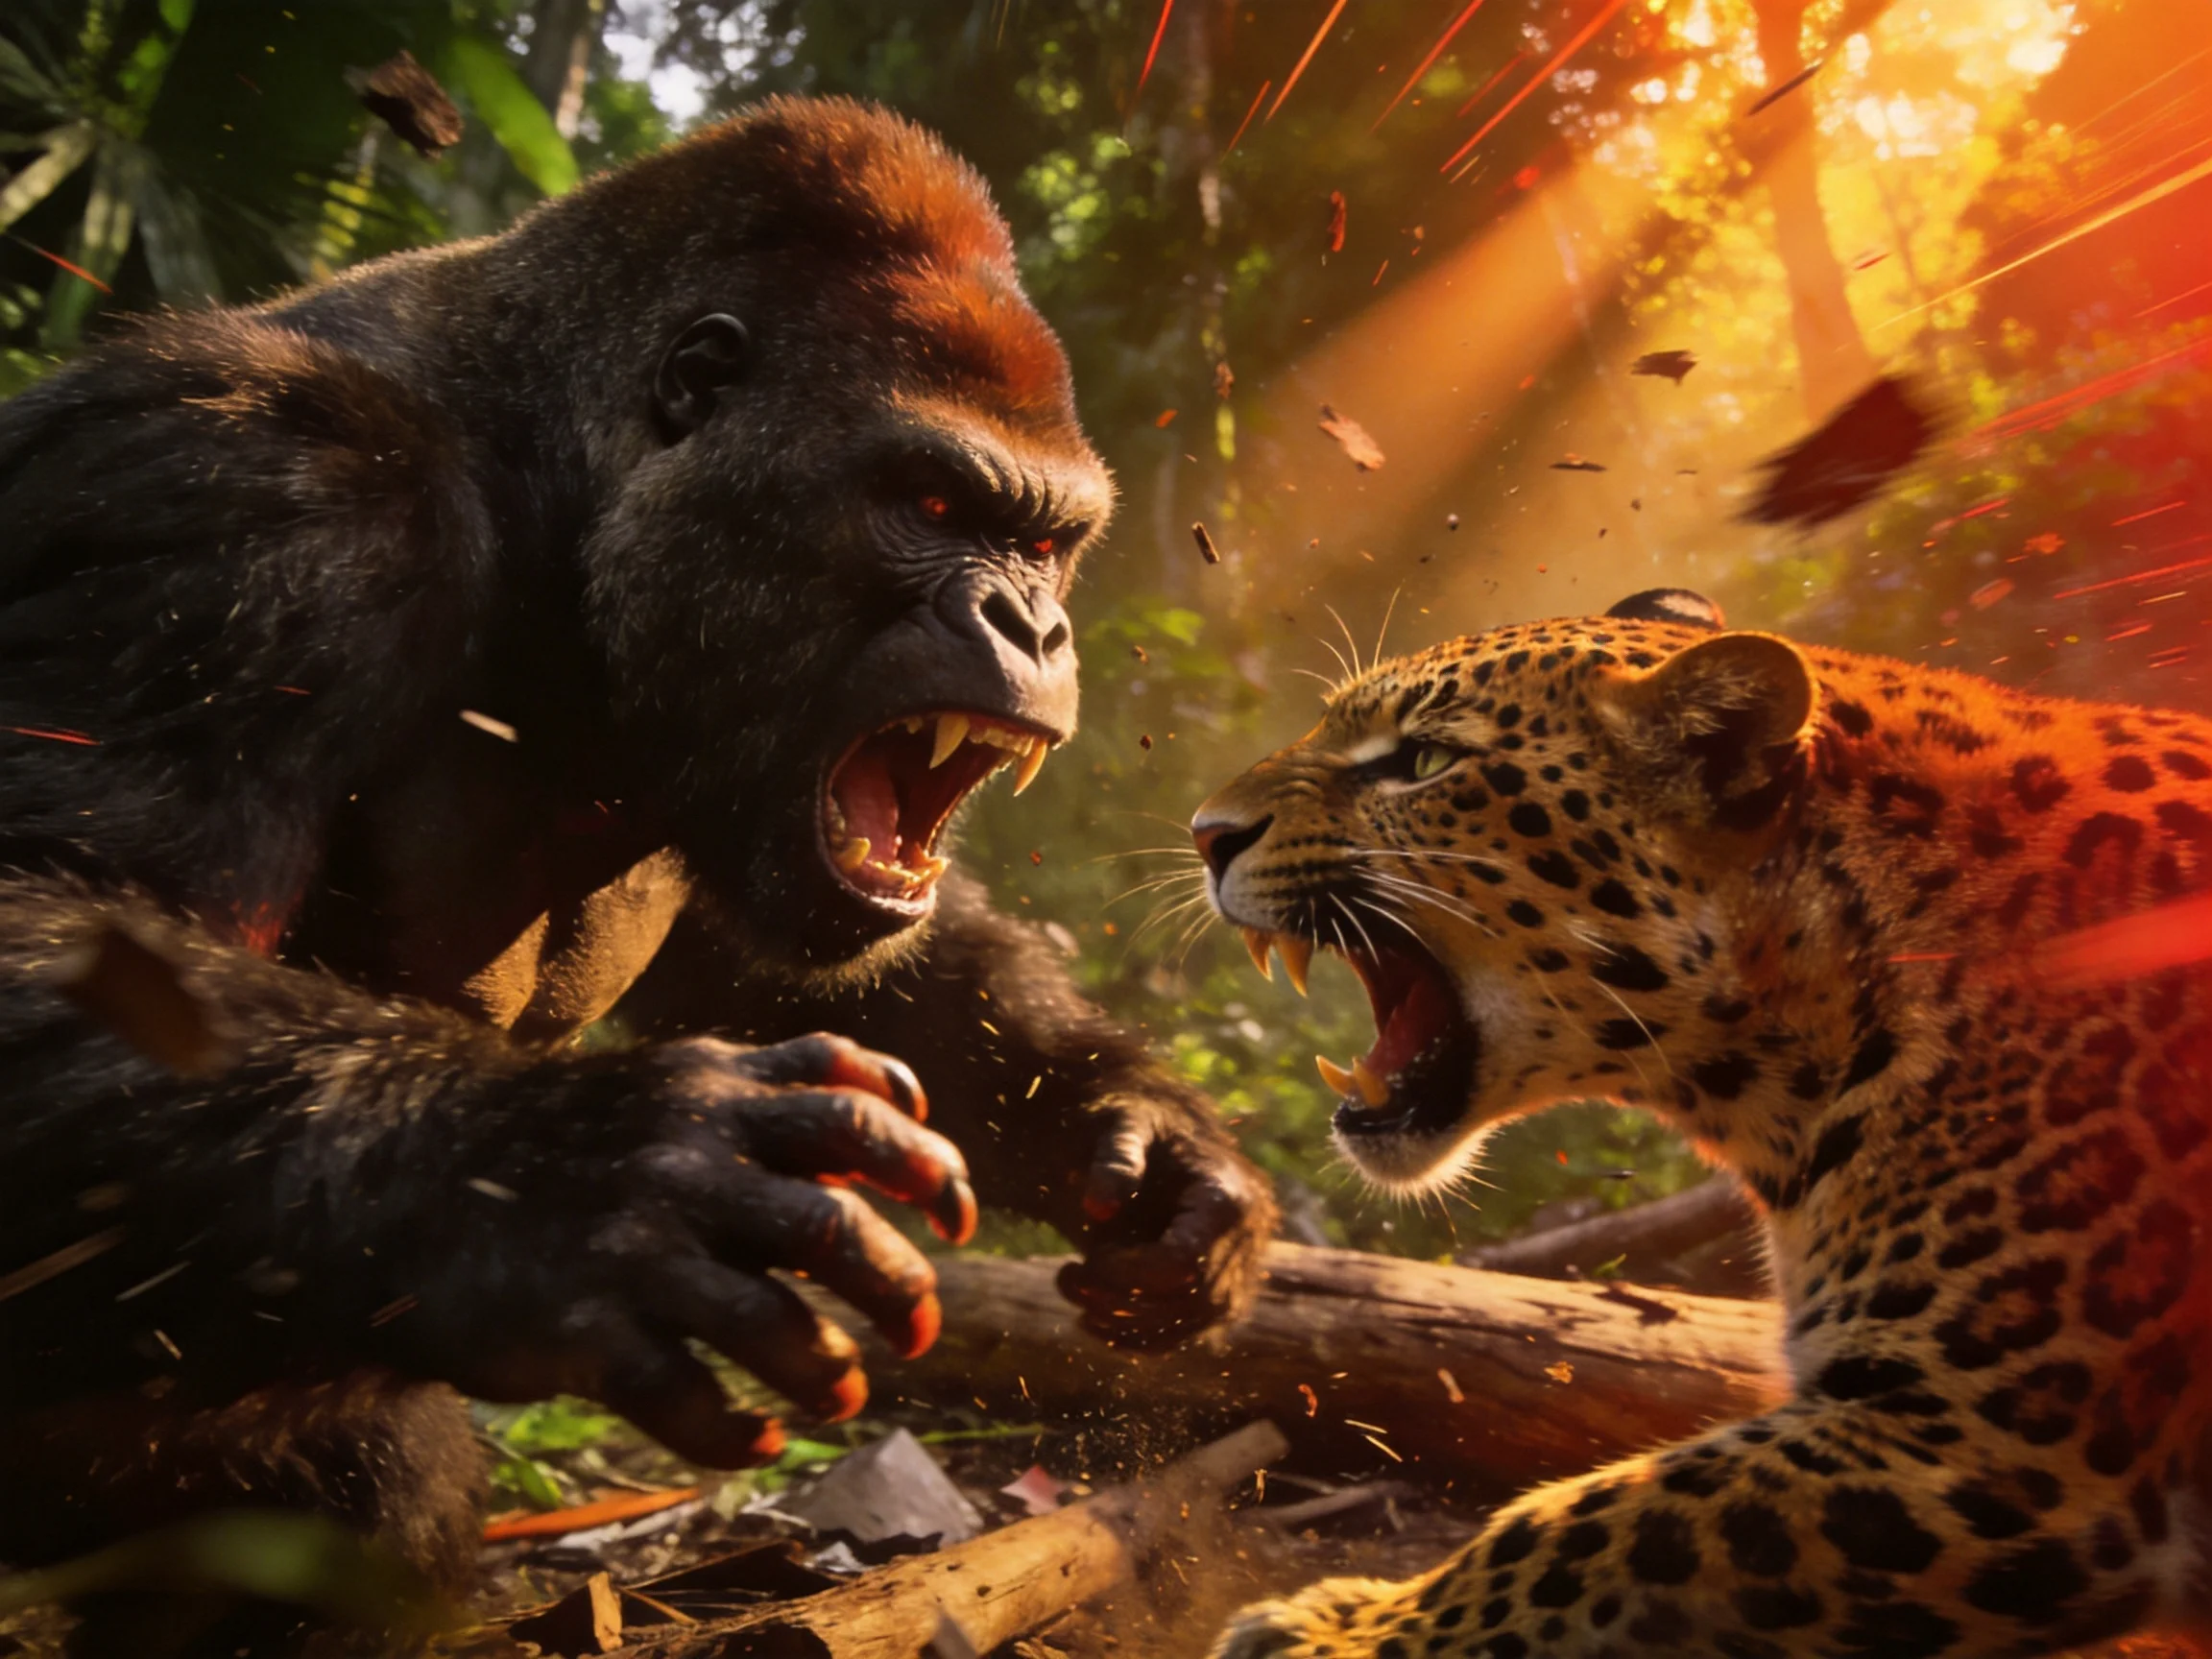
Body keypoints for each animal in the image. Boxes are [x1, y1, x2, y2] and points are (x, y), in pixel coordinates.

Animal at [0, 96, 1274, 1646]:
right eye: (928, 502)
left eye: (1045, 540)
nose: (1034, 625)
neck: (550, 486)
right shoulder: (256, 487)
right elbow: (66, 927)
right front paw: (588, 1175)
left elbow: (799, 971)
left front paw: (1138, 1126)